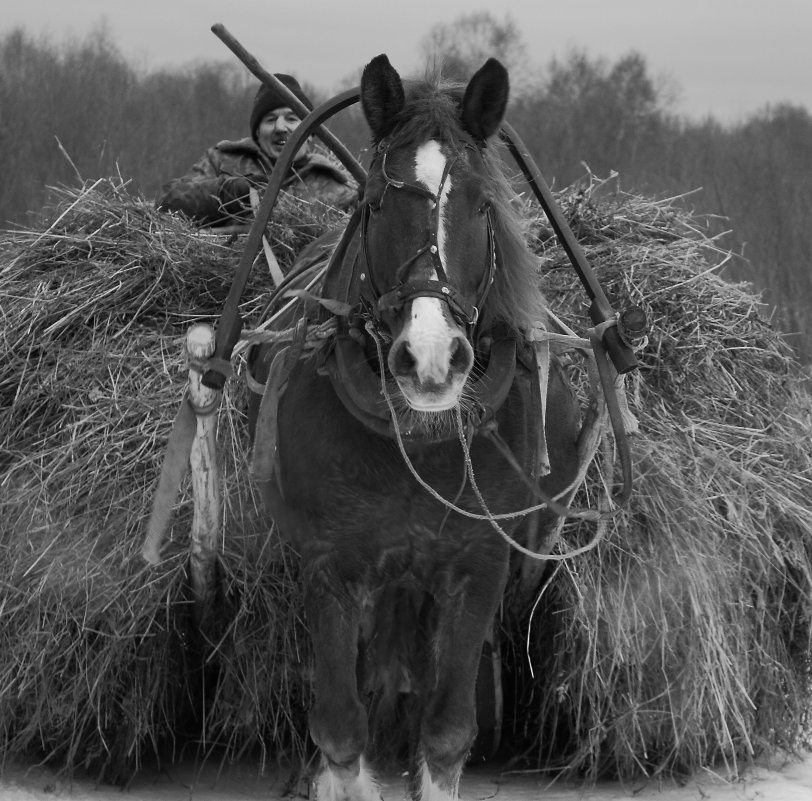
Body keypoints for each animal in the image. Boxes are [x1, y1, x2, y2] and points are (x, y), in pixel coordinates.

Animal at [247, 54, 584, 800]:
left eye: (482, 205)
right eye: (375, 202)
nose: (430, 359)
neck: (416, 446)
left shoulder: (477, 565)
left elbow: (447, 733)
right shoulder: (332, 565)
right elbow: (343, 733)